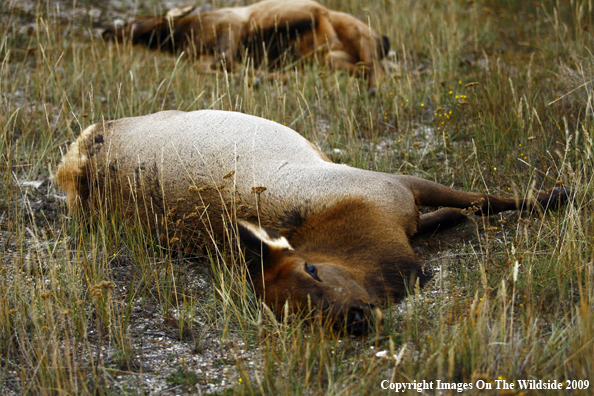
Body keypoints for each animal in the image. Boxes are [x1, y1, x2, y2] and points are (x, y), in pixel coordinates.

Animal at [56, 110, 568, 334]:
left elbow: (485, 198)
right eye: (296, 313)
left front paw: (558, 193)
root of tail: (75, 163)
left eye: (313, 268)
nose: (355, 317)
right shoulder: (396, 199)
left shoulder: (394, 185)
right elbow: (468, 207)